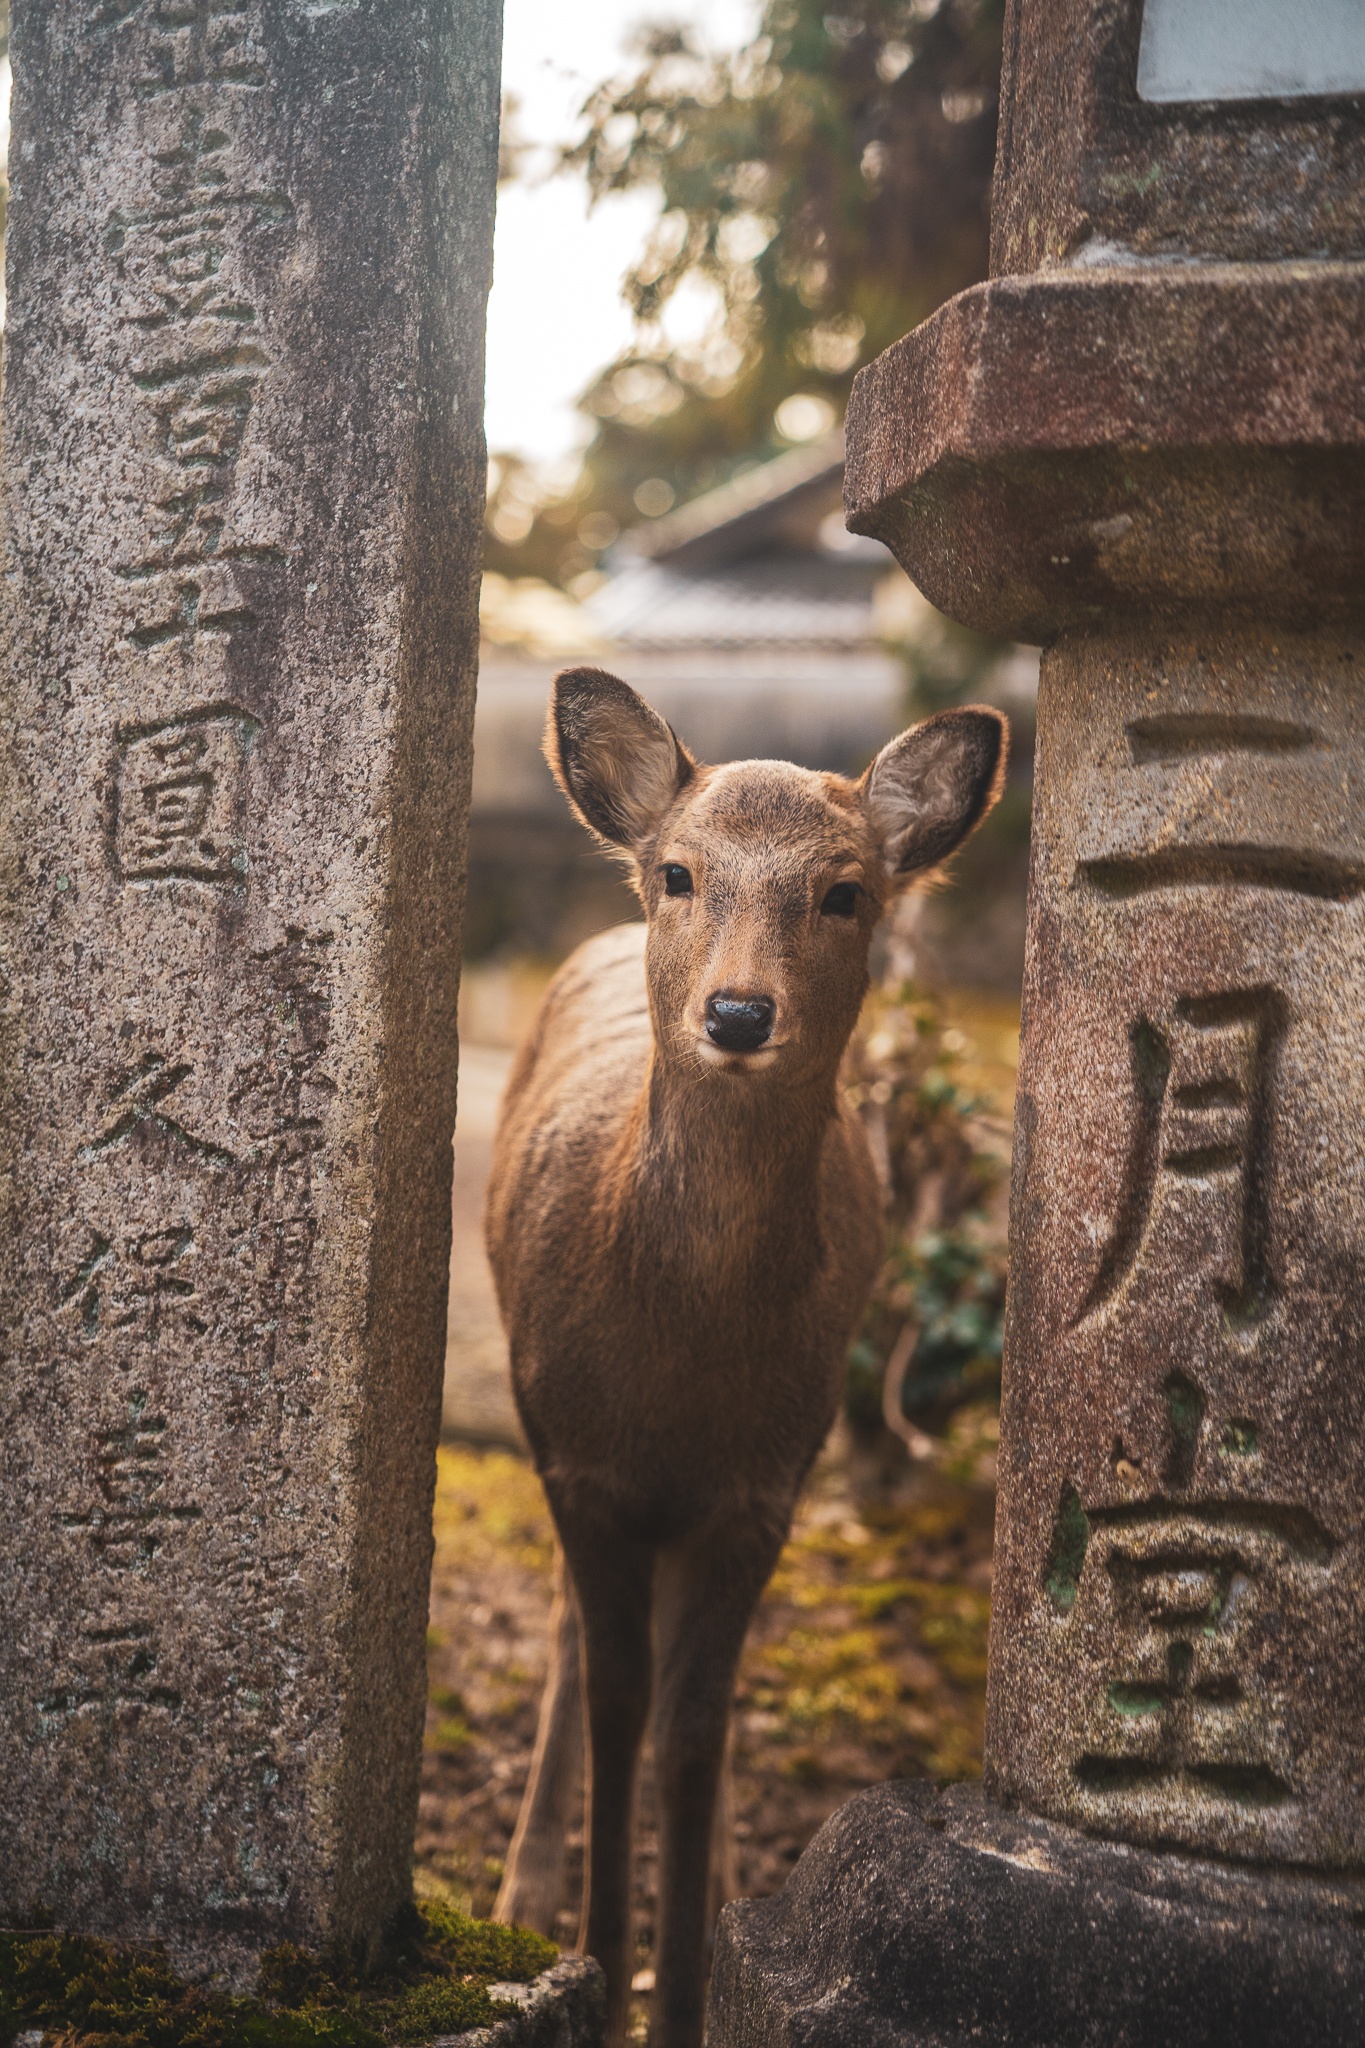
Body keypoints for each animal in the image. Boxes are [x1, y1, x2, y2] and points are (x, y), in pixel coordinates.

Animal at [485, 675, 1010, 2048]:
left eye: (846, 891)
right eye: (678, 871)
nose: (735, 1011)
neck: (685, 1364)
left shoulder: (763, 1484)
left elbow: (692, 1730)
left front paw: (681, 1987)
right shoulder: (580, 1460)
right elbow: (622, 1705)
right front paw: (597, 1962)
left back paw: (716, 1880)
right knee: (571, 1642)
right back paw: (526, 1884)